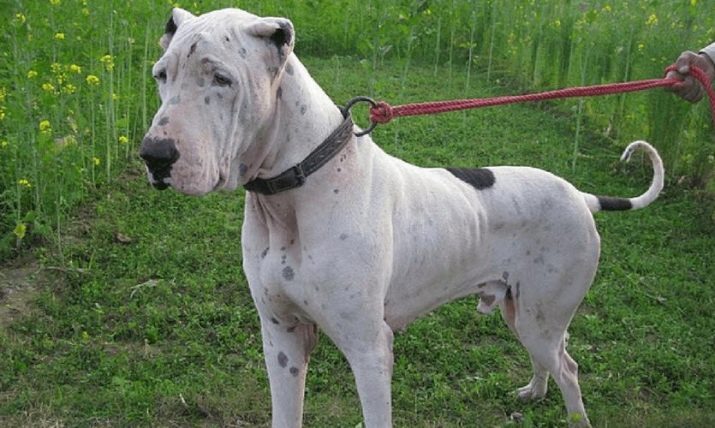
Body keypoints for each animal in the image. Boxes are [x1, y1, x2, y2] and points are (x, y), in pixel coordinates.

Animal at [139, 8, 664, 427]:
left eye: (221, 79)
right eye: (162, 75)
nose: (154, 155)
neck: (295, 193)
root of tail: (580, 195)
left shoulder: (370, 351)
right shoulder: (281, 340)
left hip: (541, 316)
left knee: (568, 368)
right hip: (522, 312)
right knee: (552, 359)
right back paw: (534, 392)